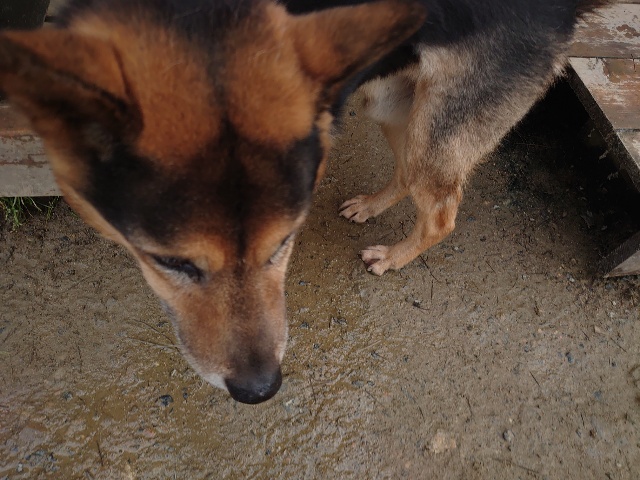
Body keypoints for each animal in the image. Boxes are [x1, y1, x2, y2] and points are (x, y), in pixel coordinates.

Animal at [0, 0, 607, 403]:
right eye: (169, 261)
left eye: (285, 243)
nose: (260, 390)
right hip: (389, 101)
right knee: (405, 174)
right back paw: (370, 206)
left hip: (435, 130)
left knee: (440, 212)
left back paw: (394, 256)